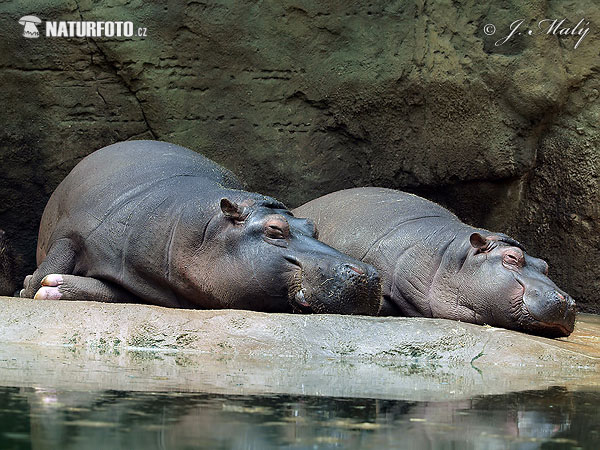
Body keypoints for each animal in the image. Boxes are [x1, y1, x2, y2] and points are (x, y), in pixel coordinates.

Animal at [22, 142, 384, 316]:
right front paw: (31, 286)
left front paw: (52, 287)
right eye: (275, 231)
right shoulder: (76, 230)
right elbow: (53, 263)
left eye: (313, 227)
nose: (369, 273)